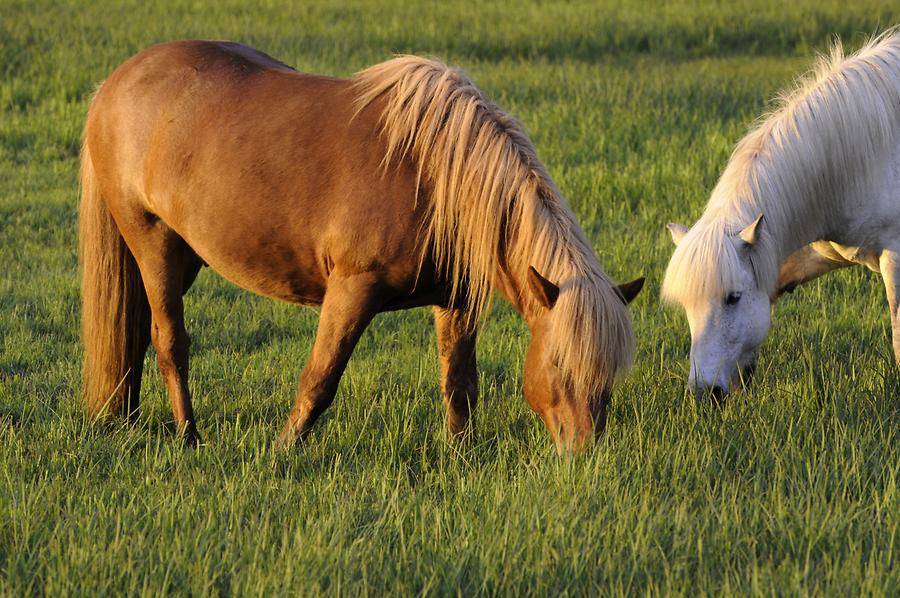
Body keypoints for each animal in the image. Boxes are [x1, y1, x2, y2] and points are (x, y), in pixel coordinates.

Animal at [77, 41, 644, 450]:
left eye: (610, 378)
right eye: (559, 365)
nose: (582, 455)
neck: (435, 176)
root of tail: (116, 82)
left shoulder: (457, 301)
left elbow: (459, 384)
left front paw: (461, 457)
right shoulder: (352, 291)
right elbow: (320, 379)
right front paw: (280, 452)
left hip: (186, 254)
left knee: (138, 337)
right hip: (154, 243)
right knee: (170, 341)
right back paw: (189, 436)